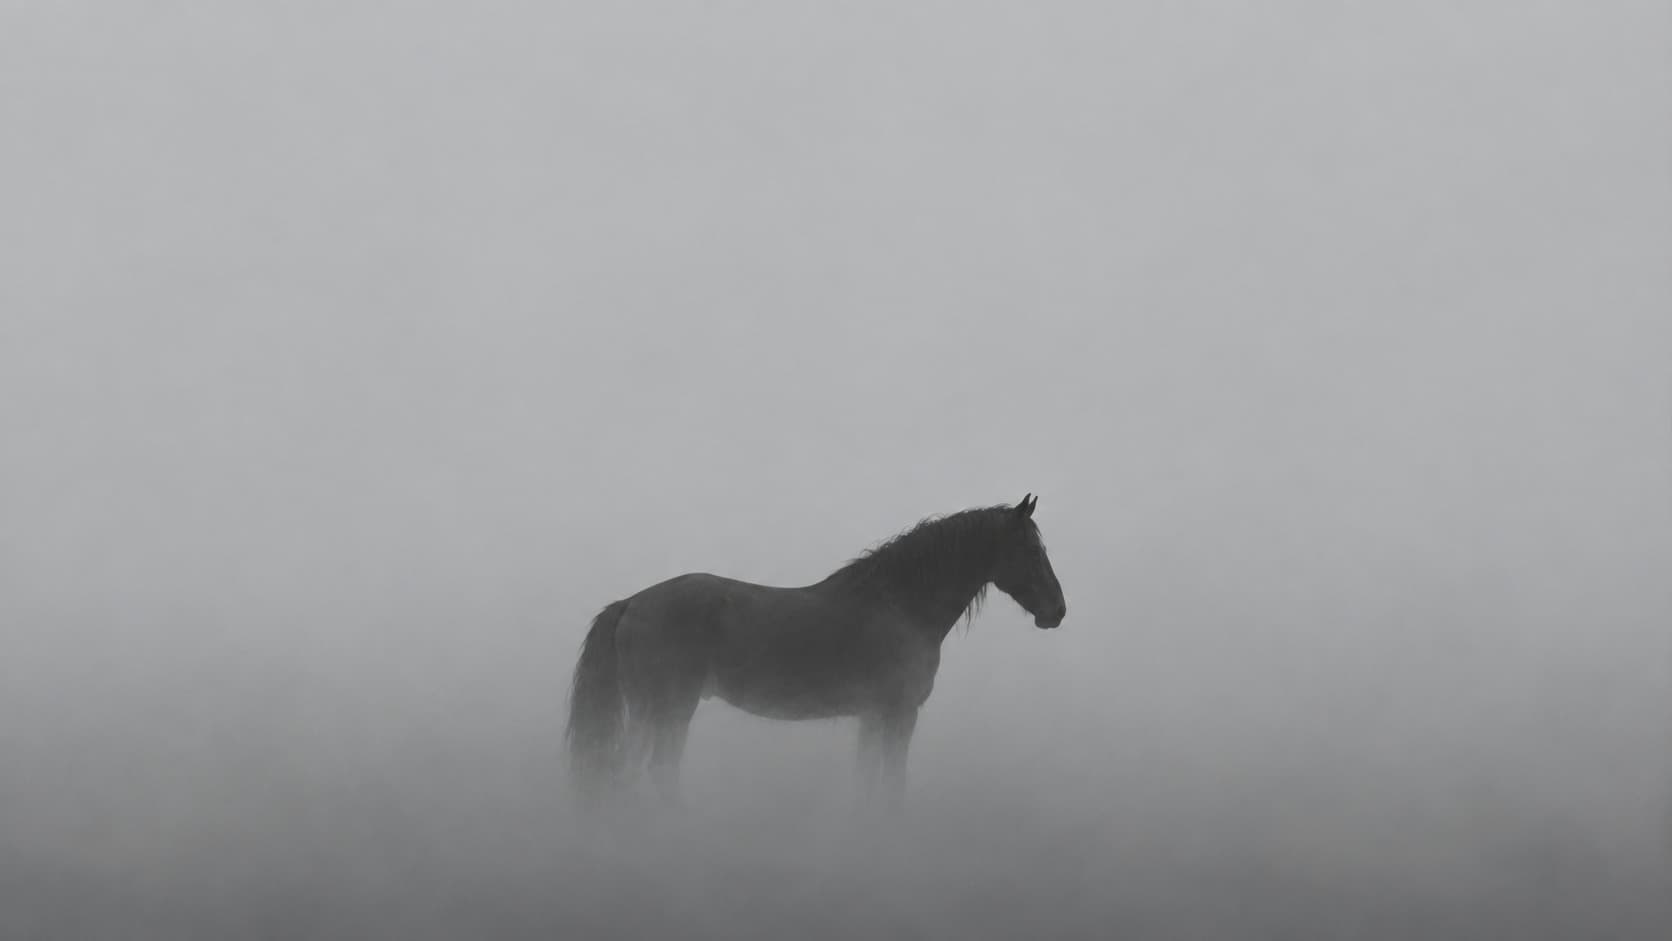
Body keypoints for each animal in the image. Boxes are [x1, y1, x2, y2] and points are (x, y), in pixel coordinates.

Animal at [564, 493, 1067, 810]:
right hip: (664, 708)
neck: (898, 604)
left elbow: (868, 783)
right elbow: (892, 785)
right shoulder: (898, 714)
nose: (1057, 611)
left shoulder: (873, 716)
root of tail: (631, 603)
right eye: (1028, 548)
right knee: (644, 771)